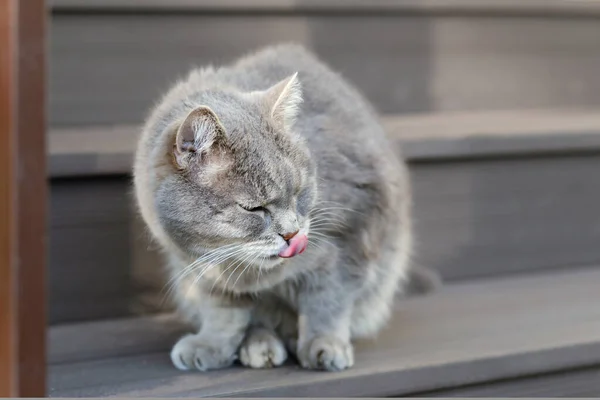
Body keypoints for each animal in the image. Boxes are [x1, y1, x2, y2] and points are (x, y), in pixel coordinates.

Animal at [134, 43, 438, 372]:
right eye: (253, 209)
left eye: (299, 192)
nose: (292, 233)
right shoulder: (202, 269)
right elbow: (223, 312)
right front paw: (211, 344)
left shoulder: (349, 234)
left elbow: (327, 300)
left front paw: (324, 344)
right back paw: (260, 344)